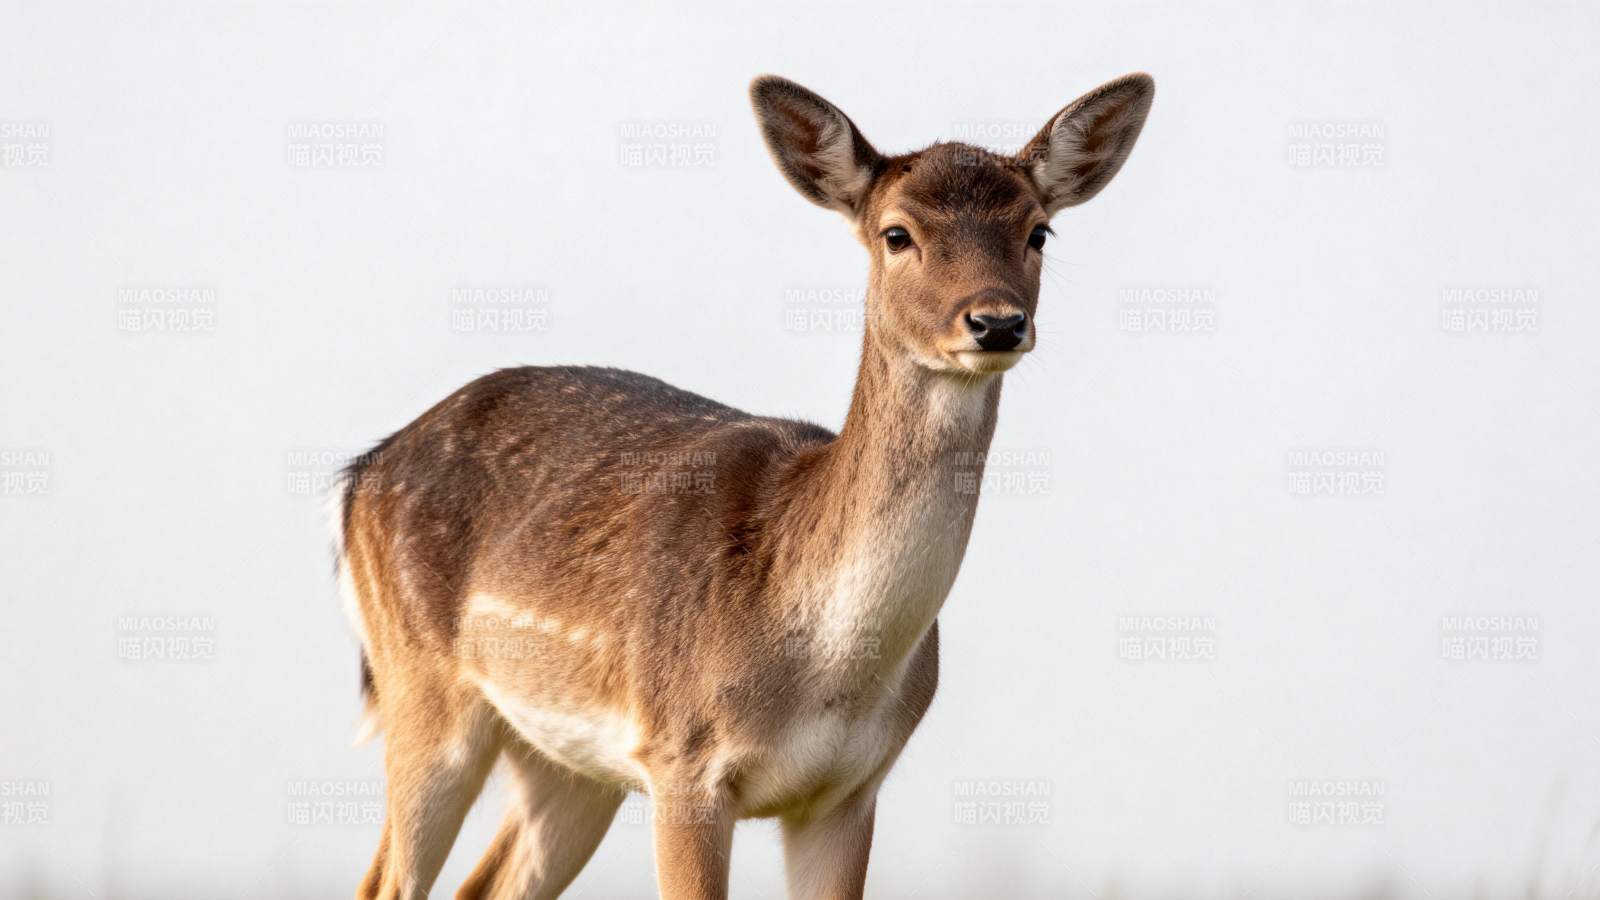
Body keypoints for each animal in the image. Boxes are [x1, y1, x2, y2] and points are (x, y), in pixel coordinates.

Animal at [334, 72, 1153, 900]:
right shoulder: (682, 759)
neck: (822, 668)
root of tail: (362, 473)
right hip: (422, 690)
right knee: (386, 880)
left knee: (486, 882)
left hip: (565, 760)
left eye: (1039, 231)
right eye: (897, 234)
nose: (995, 322)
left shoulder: (851, 790)